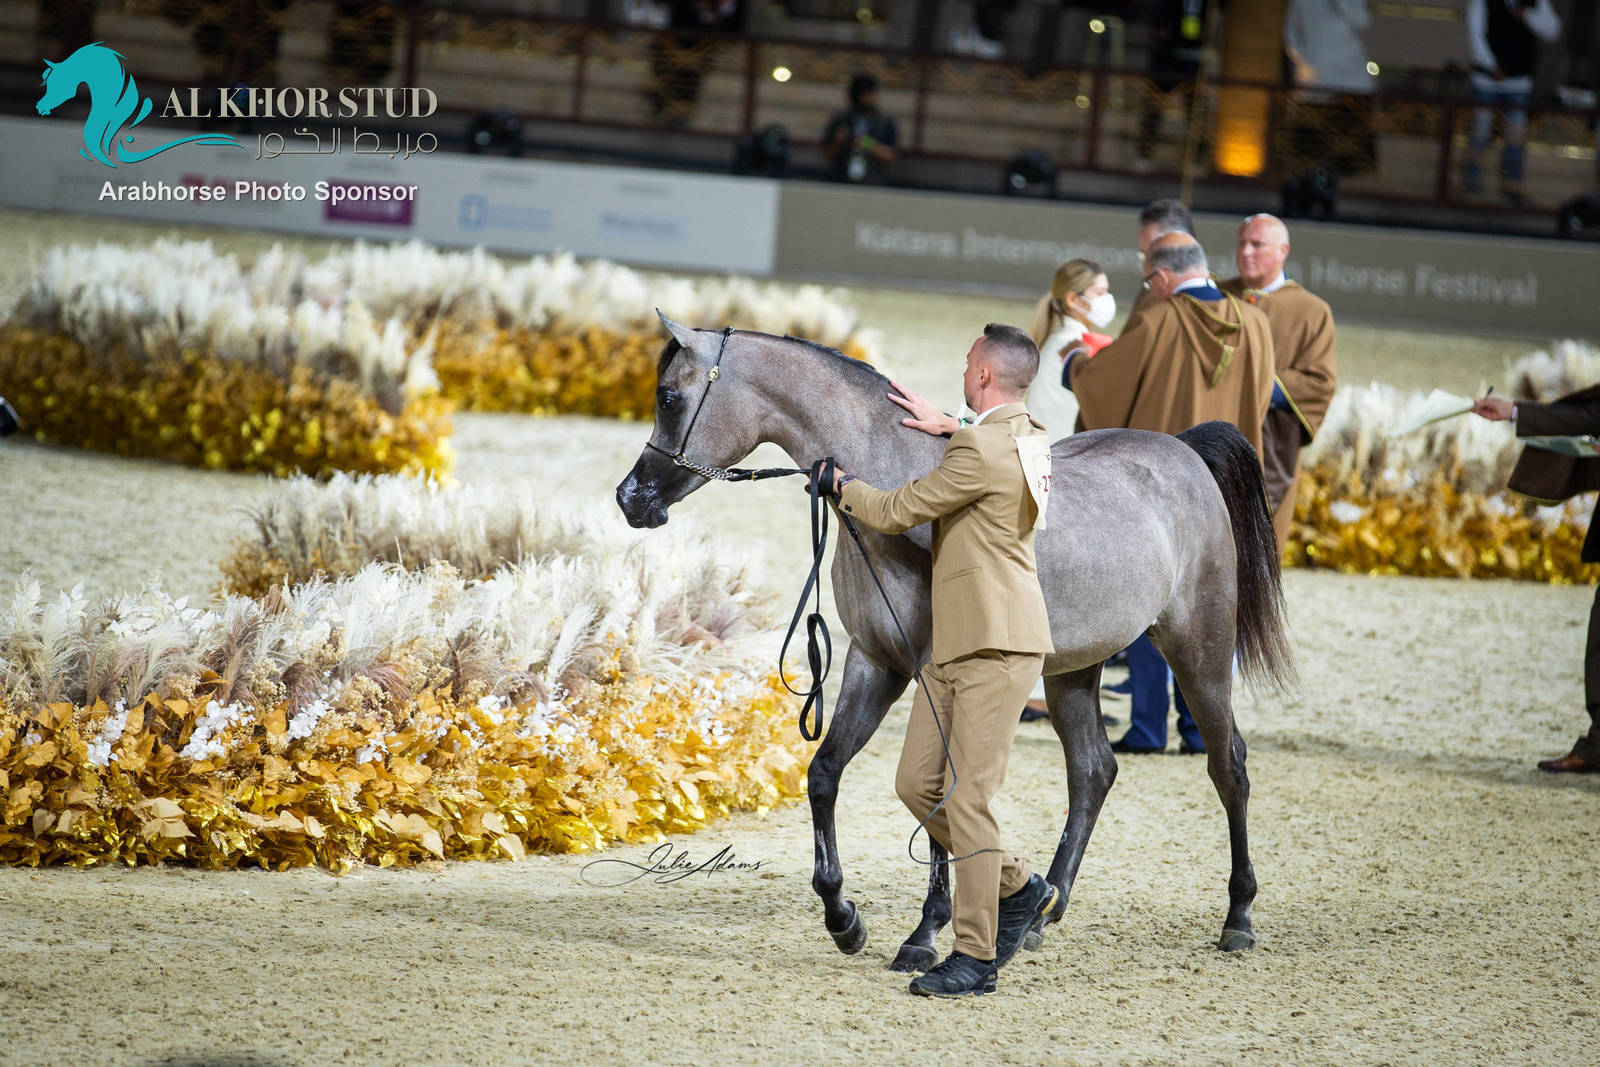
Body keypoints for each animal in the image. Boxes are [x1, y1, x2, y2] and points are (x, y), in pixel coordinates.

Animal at [616, 316, 1295, 971]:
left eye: (669, 396)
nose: (630, 498)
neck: (894, 482)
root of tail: (1183, 450)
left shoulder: (936, 674)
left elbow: (940, 791)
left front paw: (924, 933)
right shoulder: (875, 661)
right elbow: (826, 773)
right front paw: (844, 919)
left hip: (1199, 649)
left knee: (1228, 764)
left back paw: (1238, 917)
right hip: (1072, 670)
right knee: (1092, 771)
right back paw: (1043, 910)